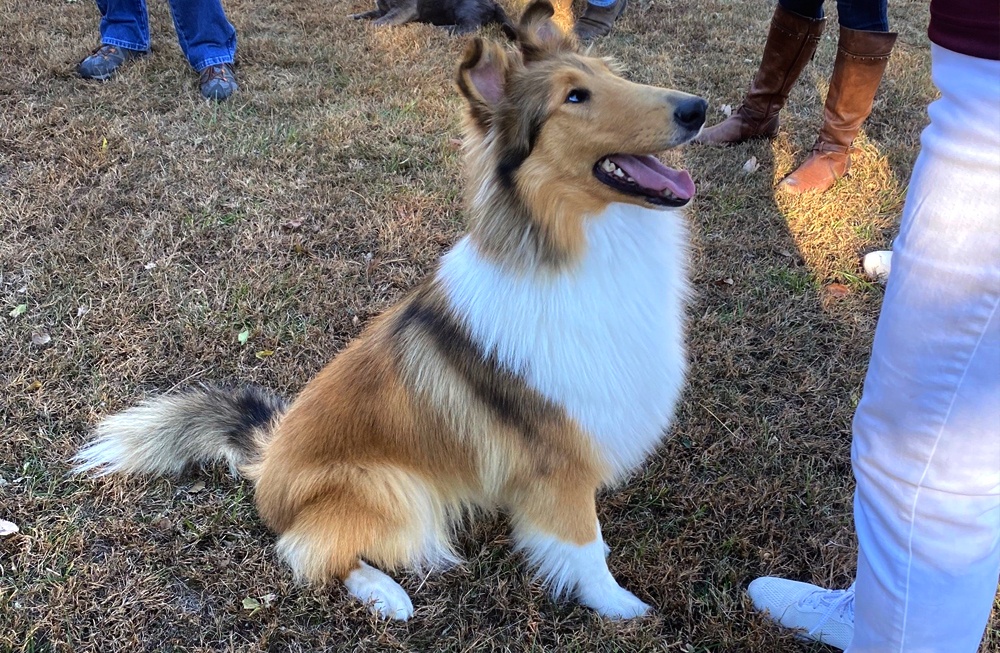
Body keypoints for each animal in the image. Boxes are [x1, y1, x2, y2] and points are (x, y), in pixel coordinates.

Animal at [74, 1, 704, 620]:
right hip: (392, 488)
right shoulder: (558, 463)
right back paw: (386, 594)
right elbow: (585, 547)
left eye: (612, 76)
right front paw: (623, 607)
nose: (697, 109)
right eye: (574, 97)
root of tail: (265, 461)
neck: (571, 247)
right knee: (306, 550)